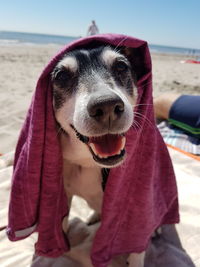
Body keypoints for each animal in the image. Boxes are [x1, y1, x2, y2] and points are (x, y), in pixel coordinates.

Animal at [50, 45, 145, 266]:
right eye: (61, 76)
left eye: (121, 66)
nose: (106, 105)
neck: (90, 164)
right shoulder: (65, 194)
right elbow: (62, 223)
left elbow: (137, 248)